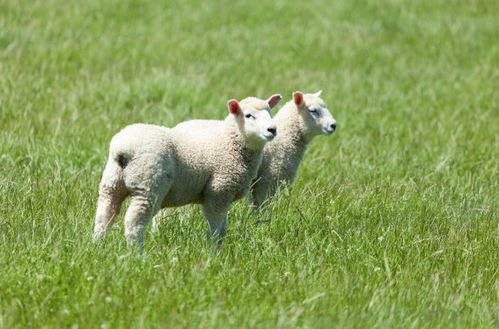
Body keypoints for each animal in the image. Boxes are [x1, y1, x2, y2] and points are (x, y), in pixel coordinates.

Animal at [93, 93, 282, 250]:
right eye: (248, 115)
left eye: (270, 113)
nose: (272, 130)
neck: (230, 141)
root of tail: (123, 149)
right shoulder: (217, 192)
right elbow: (216, 228)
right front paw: (213, 253)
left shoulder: (221, 197)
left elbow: (223, 228)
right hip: (147, 185)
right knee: (133, 223)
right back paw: (137, 254)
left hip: (112, 184)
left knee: (104, 216)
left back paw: (98, 247)